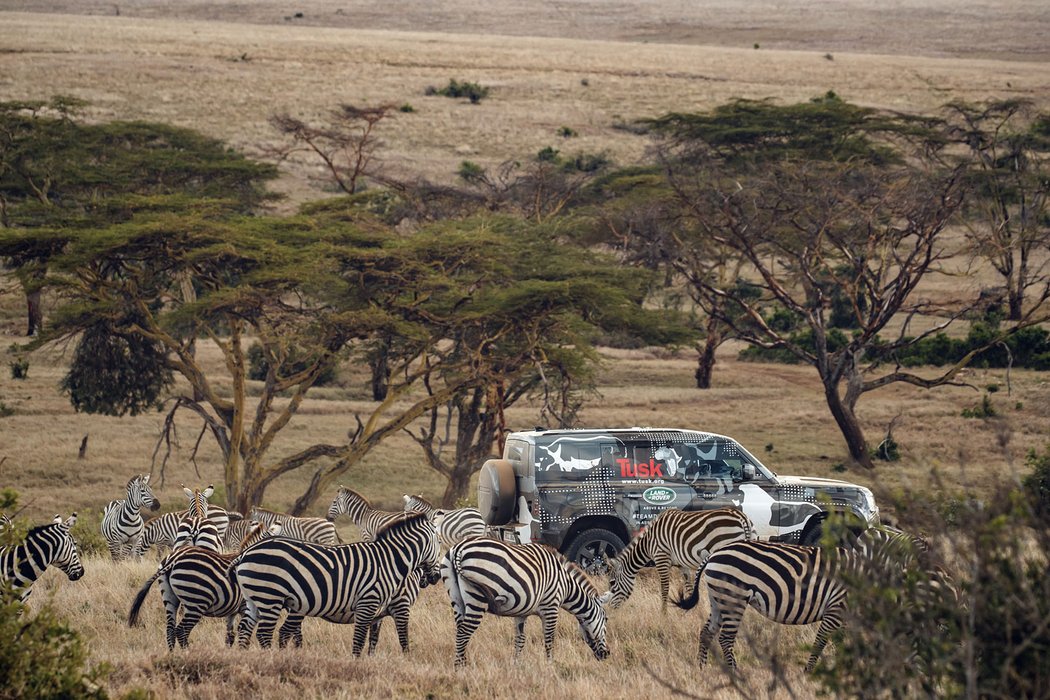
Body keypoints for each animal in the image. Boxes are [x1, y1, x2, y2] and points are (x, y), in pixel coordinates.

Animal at [126, 520, 281, 650]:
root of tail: (173, 559)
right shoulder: (245, 606)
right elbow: (244, 633)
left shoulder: (232, 610)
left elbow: (230, 636)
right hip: (196, 602)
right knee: (181, 630)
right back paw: (188, 653)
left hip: (169, 597)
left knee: (170, 629)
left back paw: (173, 655)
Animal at [233, 510, 438, 659]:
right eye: (439, 544)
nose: (433, 579)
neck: (389, 560)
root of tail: (246, 553)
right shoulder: (376, 603)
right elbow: (376, 638)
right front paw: (358, 664)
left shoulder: (378, 611)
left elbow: (372, 639)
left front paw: (371, 660)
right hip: (270, 596)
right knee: (265, 633)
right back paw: (271, 660)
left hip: (255, 599)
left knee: (246, 629)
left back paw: (247, 659)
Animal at [440, 537, 609, 667]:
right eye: (606, 619)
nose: (607, 654)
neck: (566, 584)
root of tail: (459, 548)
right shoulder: (551, 607)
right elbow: (549, 638)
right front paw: (550, 665)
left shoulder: (521, 612)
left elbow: (520, 640)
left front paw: (516, 665)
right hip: (477, 598)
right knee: (464, 632)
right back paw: (460, 668)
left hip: (456, 598)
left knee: (459, 630)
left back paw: (462, 663)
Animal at [600, 510, 755, 612]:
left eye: (612, 583)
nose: (611, 609)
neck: (648, 543)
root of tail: (741, 517)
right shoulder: (682, 565)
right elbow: (689, 587)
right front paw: (694, 612)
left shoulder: (661, 558)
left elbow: (664, 589)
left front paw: (663, 615)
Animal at [676, 524, 940, 671]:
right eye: (918, 642)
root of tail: (714, 554)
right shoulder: (836, 609)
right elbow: (821, 642)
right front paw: (810, 671)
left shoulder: (848, 617)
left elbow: (846, 644)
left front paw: (848, 668)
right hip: (734, 597)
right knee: (725, 639)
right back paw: (735, 673)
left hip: (719, 598)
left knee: (707, 632)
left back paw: (702, 668)